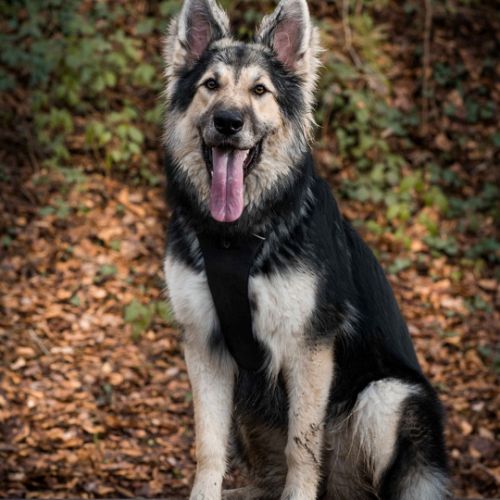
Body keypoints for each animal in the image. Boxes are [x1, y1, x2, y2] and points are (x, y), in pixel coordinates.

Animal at [162, 0, 449, 498]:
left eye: (260, 90)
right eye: (210, 85)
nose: (228, 122)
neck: (238, 236)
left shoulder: (308, 348)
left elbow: (303, 447)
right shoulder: (204, 344)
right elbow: (208, 448)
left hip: (386, 396)